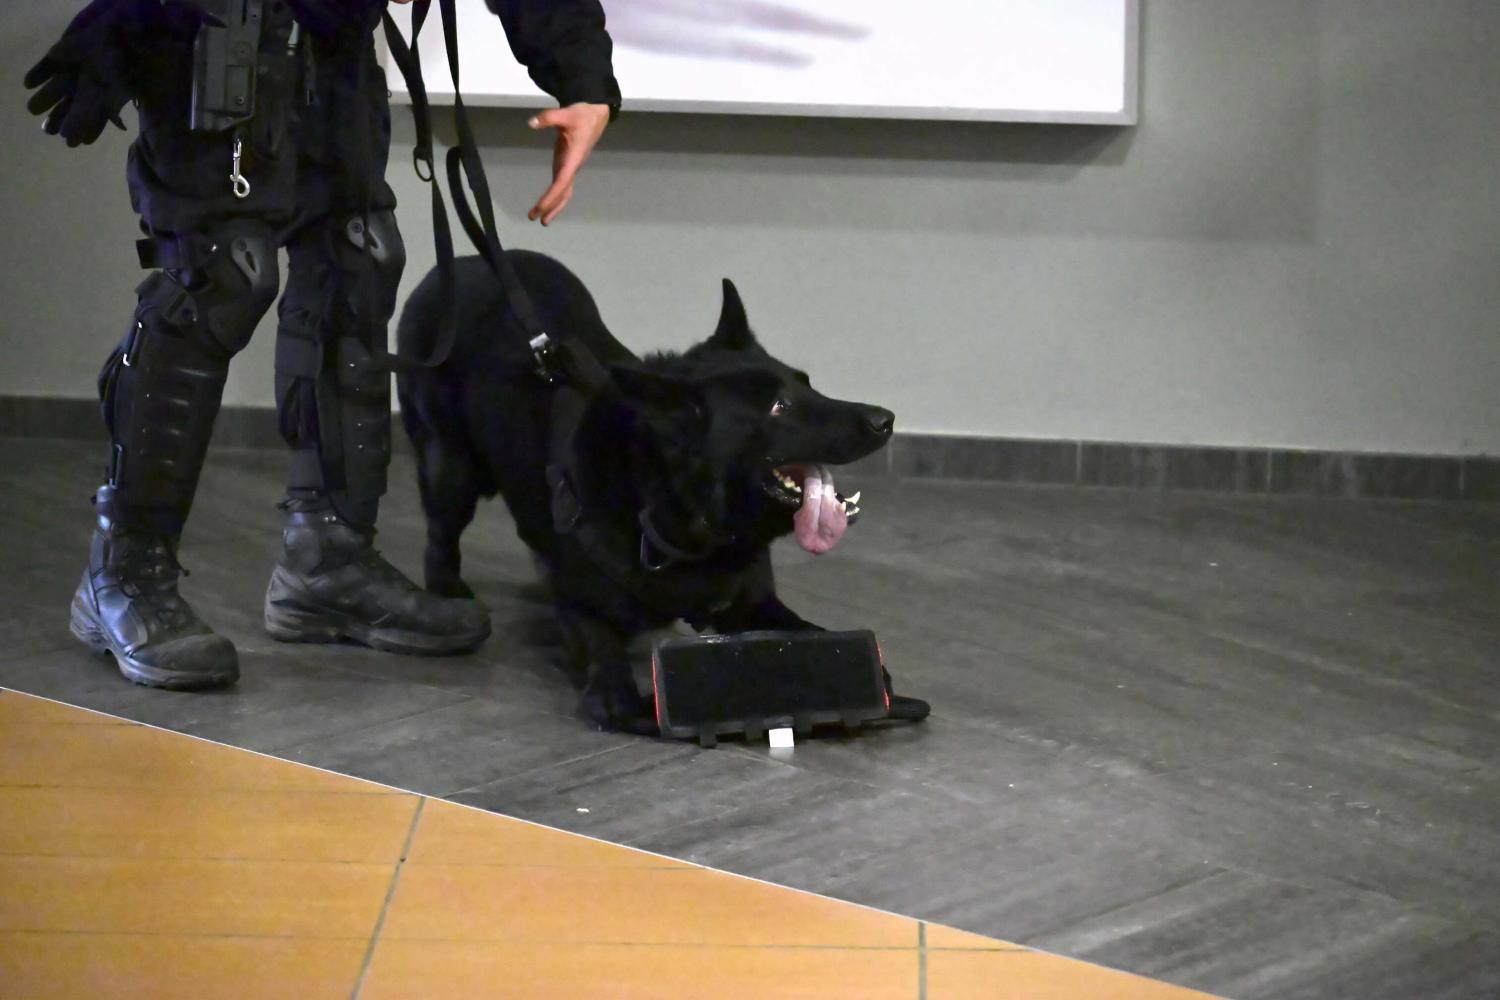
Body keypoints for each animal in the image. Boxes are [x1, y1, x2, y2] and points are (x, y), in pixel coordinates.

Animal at [396, 251, 929, 733]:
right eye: (779, 407)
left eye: (807, 385)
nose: (885, 420)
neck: (683, 516)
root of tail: (459, 264)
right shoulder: (586, 613)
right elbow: (610, 681)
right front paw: (628, 703)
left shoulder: (753, 602)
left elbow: (806, 632)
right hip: (450, 467)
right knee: (440, 536)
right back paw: (449, 592)